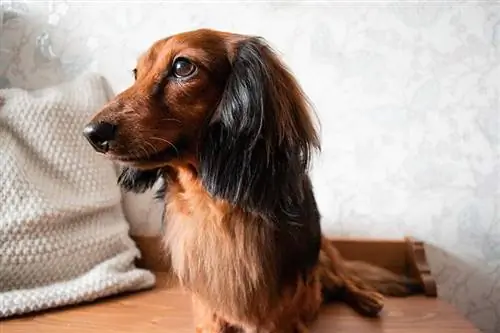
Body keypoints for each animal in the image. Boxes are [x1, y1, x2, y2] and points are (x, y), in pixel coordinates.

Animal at [83, 29, 418, 332]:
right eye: (136, 73)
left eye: (182, 67)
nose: (91, 133)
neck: (214, 205)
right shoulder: (209, 310)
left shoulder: (274, 316)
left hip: (321, 254)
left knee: (341, 278)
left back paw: (367, 298)